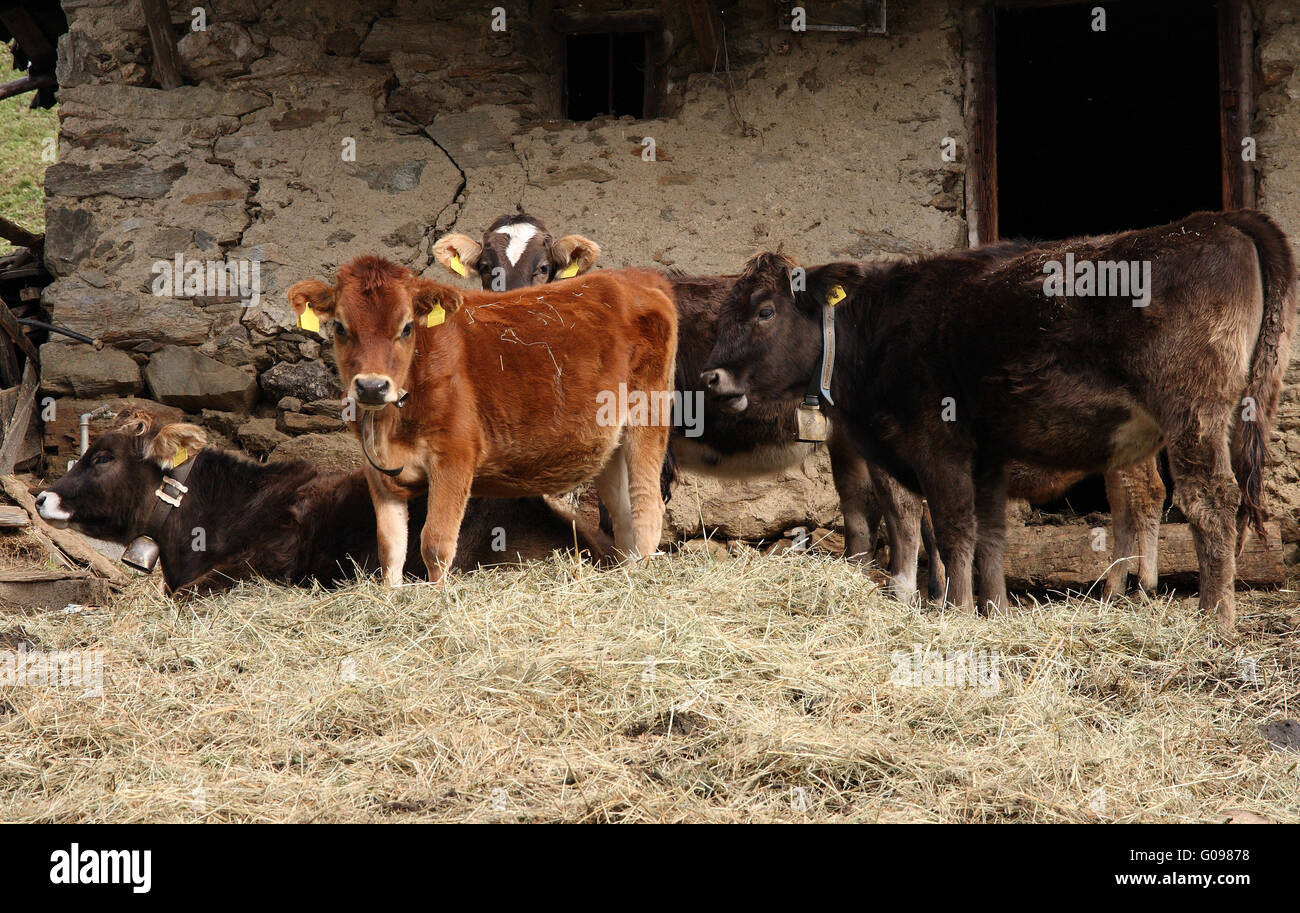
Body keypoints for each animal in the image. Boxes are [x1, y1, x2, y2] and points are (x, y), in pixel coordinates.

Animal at [287, 257, 681, 587]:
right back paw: (625, 574)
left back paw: (642, 581)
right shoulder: (377, 471)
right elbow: (391, 546)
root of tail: (637, 277)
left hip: (648, 413)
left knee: (647, 505)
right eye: (340, 327)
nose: (371, 385)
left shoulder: (455, 456)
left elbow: (435, 542)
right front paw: (391, 597)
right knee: (623, 513)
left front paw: (437, 600)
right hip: (611, 444)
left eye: (407, 327)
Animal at [707, 210, 1294, 632]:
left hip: (1192, 413)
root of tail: (1215, 220)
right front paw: (994, 610)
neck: (882, 331)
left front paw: (952, 608)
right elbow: (989, 531)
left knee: (1208, 500)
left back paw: (1213, 620)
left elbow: (944, 524)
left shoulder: (933, 442)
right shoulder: (986, 453)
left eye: (765, 311)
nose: (712, 376)